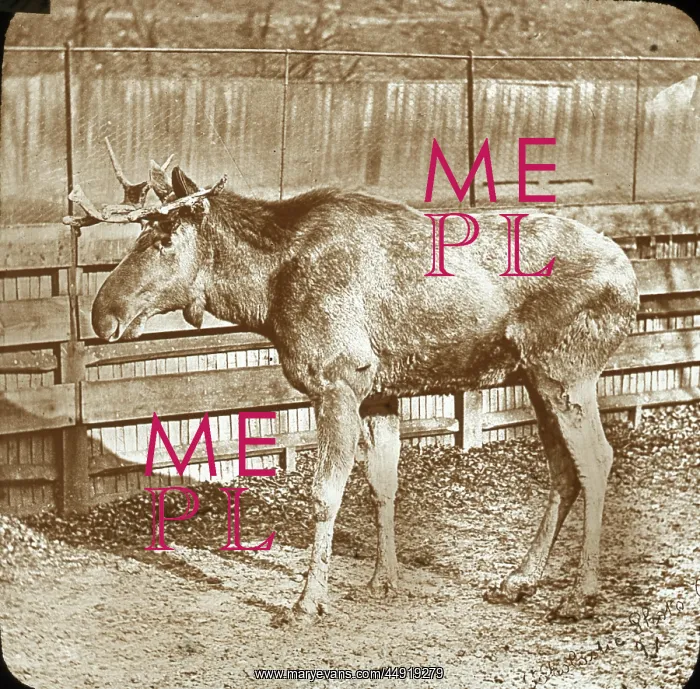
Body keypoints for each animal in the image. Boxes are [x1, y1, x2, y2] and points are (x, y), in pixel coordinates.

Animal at [64, 140, 639, 623]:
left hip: (567, 369)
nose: (102, 314)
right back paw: (519, 579)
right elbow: (382, 486)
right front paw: (383, 580)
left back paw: (579, 594)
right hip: (535, 376)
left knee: (597, 460)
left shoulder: (338, 382)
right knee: (564, 471)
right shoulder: (378, 392)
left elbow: (325, 495)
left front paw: (307, 601)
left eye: (163, 239)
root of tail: (631, 279)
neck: (266, 295)